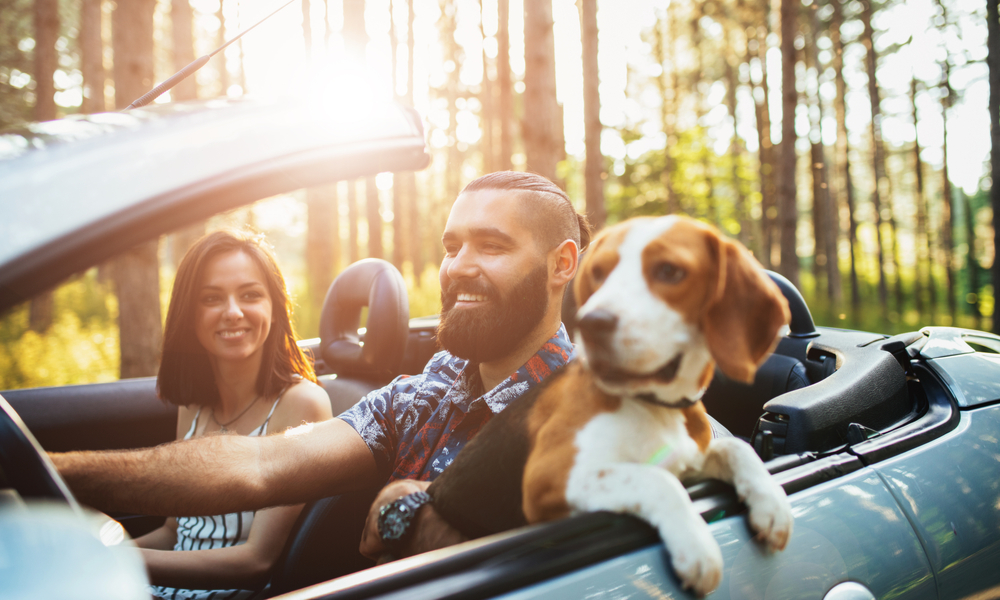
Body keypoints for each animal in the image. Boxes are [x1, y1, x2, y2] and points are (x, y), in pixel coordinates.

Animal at [430, 216, 796, 596]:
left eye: (670, 271)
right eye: (599, 272)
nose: (591, 323)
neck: (655, 406)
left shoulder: (687, 457)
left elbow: (737, 449)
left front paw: (772, 505)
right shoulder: (553, 476)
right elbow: (657, 479)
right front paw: (697, 547)